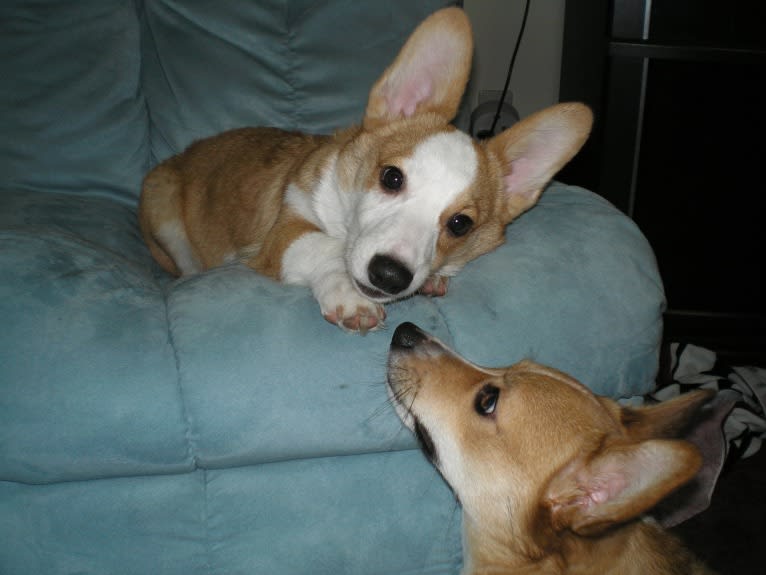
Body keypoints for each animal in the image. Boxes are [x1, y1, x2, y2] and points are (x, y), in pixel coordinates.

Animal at [140, 7, 592, 332]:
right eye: (391, 177)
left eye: (460, 224)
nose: (390, 275)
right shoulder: (284, 233)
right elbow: (324, 246)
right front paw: (347, 293)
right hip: (164, 213)